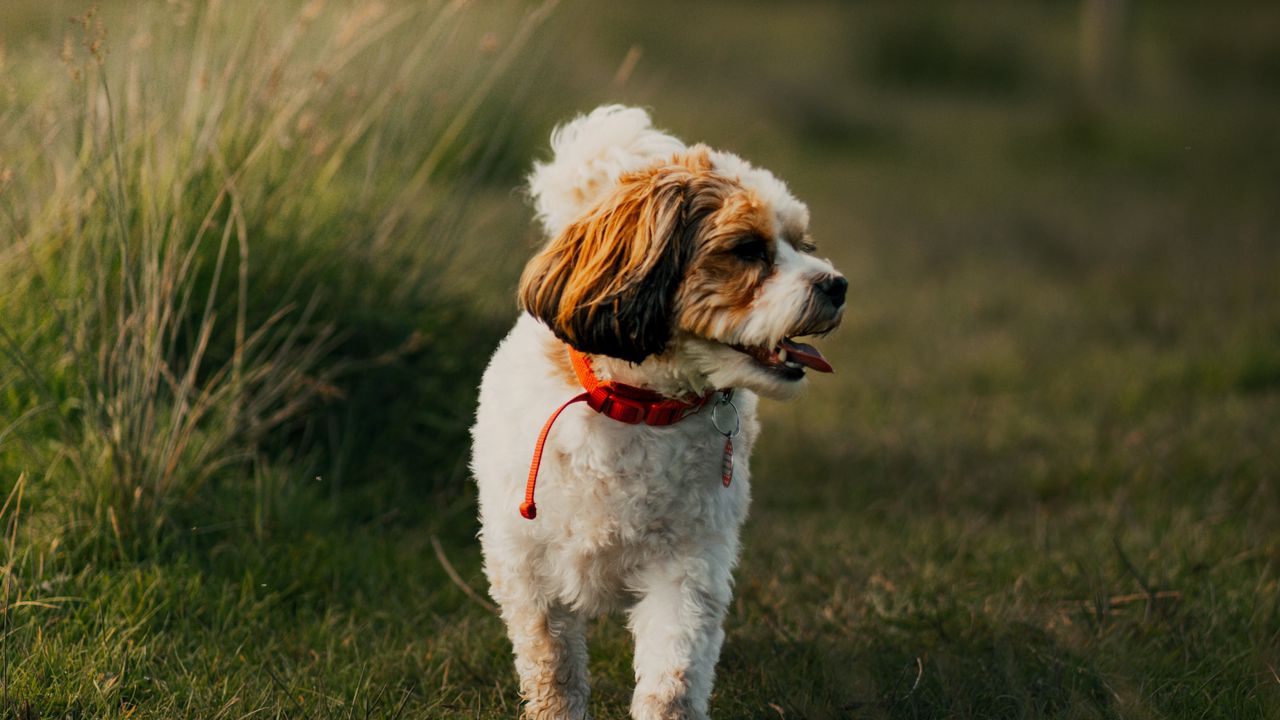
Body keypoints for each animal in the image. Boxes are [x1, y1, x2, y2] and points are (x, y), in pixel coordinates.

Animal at [476, 106, 844, 717]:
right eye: (748, 249)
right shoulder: (528, 570)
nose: (837, 283)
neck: (637, 408)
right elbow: (554, 668)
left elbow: (672, 677)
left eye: (802, 243)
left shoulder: (687, 569)